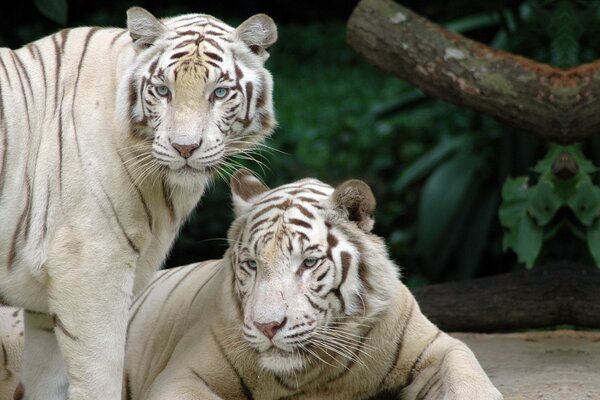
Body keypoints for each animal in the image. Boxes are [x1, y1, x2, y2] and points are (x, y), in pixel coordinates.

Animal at [0, 7, 276, 400]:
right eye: (163, 91)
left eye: (220, 92)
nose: (185, 148)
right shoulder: (90, 270)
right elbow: (100, 378)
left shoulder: (43, 307)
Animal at [123, 170, 506, 400]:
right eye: (252, 264)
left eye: (308, 263)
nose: (267, 326)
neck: (316, 374)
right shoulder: (183, 375)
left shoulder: (437, 346)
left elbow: (465, 376)